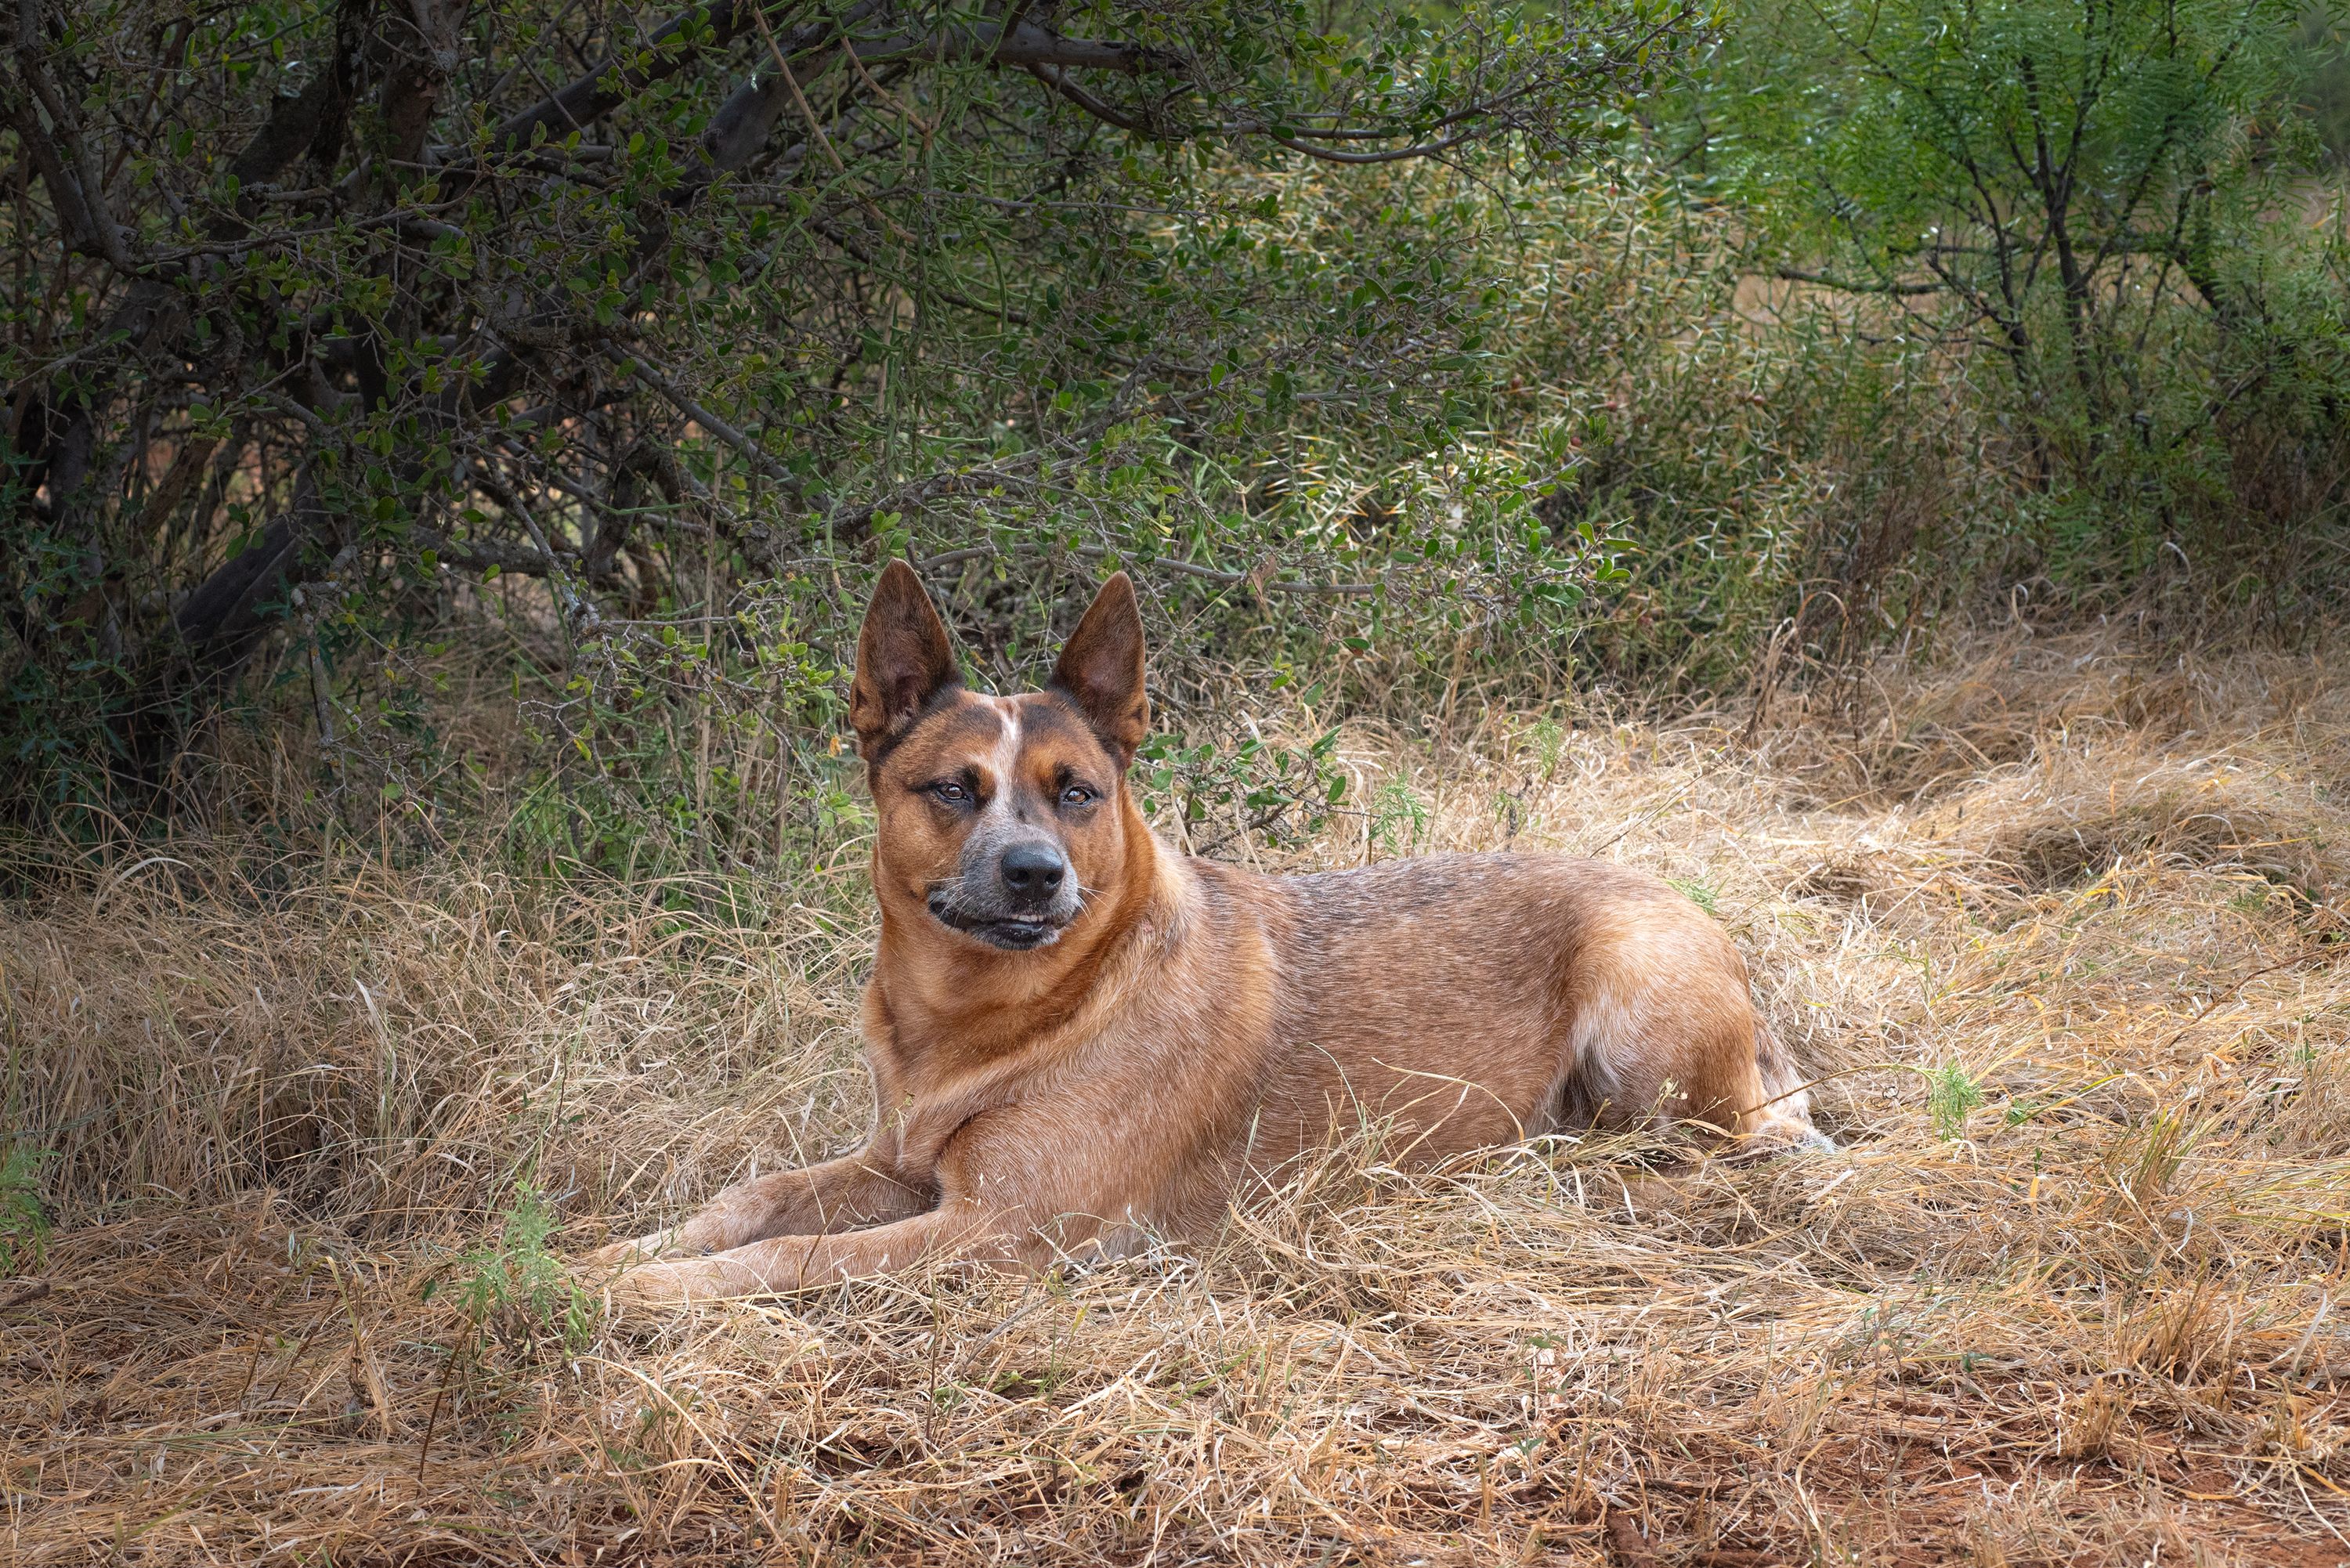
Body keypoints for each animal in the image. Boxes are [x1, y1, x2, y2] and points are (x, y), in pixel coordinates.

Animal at [583, 571, 1814, 1306]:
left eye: (1077, 791)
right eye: (954, 788)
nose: (1036, 873)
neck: (996, 1013)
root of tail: (1700, 913)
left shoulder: (999, 1231)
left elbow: (786, 1254)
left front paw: (636, 1295)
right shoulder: (894, 1166)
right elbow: (747, 1202)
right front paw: (609, 1253)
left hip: (1642, 1006)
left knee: (1760, 1140)